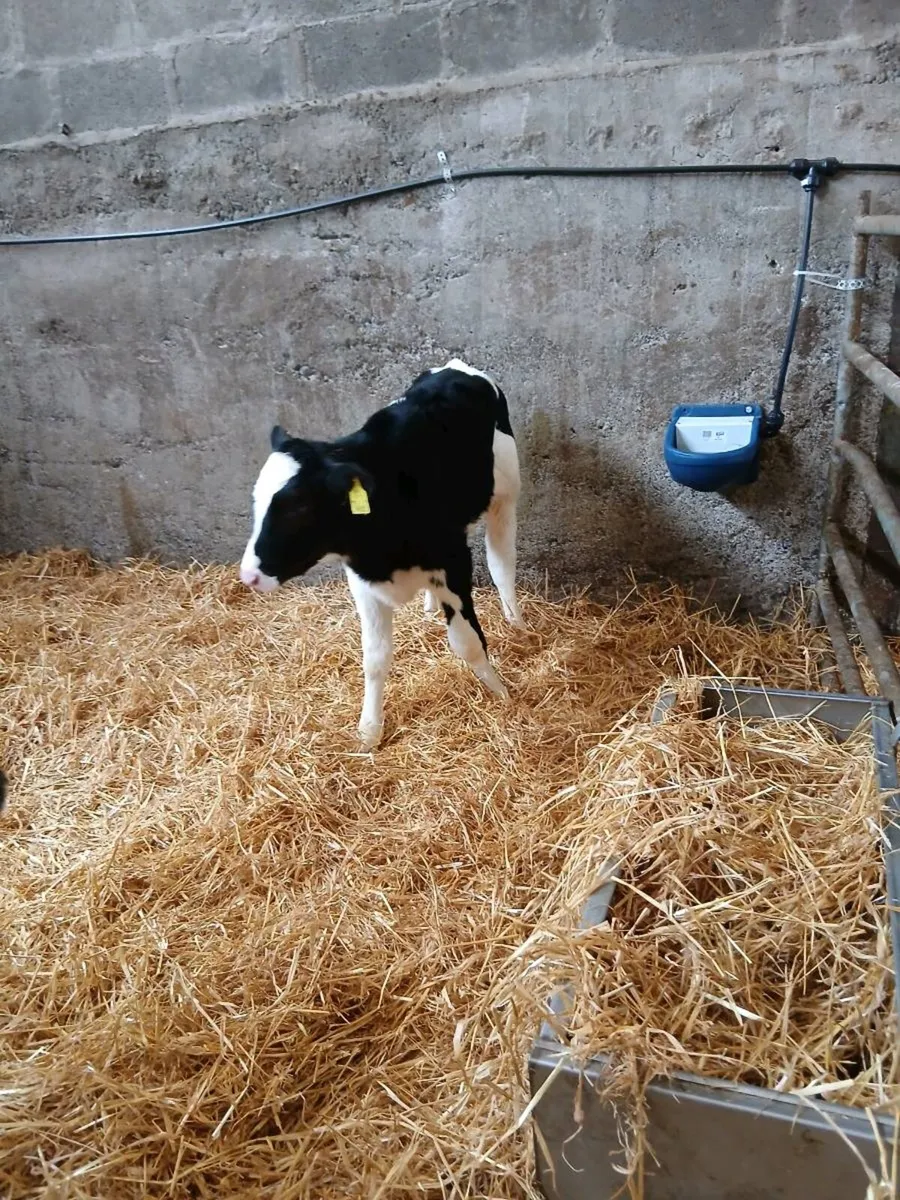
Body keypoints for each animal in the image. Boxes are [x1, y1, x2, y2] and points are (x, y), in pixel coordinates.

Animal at [239, 359, 523, 749]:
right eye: (256, 498)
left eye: (298, 507)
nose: (248, 575)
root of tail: (455, 367)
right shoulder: (363, 581)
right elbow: (374, 658)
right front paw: (369, 730)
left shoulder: (453, 563)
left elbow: (466, 642)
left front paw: (500, 694)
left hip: (505, 494)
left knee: (501, 562)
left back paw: (517, 622)